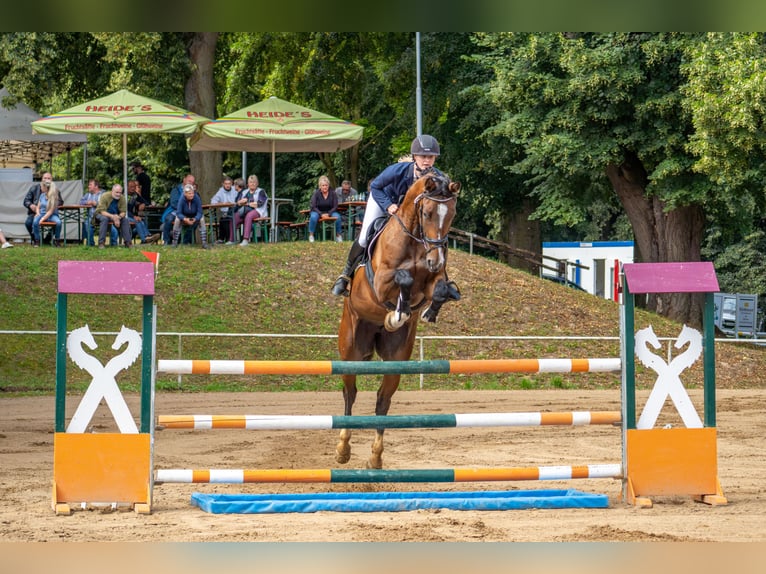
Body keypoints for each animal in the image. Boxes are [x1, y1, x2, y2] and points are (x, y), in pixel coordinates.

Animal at [335, 172, 461, 468]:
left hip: (396, 357)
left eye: (452, 214)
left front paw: (427, 312)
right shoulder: (381, 283)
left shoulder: (432, 280)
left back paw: (375, 457)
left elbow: (440, 289)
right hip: (350, 351)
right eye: (426, 213)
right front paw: (397, 313)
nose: (436, 259)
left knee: (383, 400)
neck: (416, 242)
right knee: (350, 393)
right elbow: (402, 278)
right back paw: (343, 449)